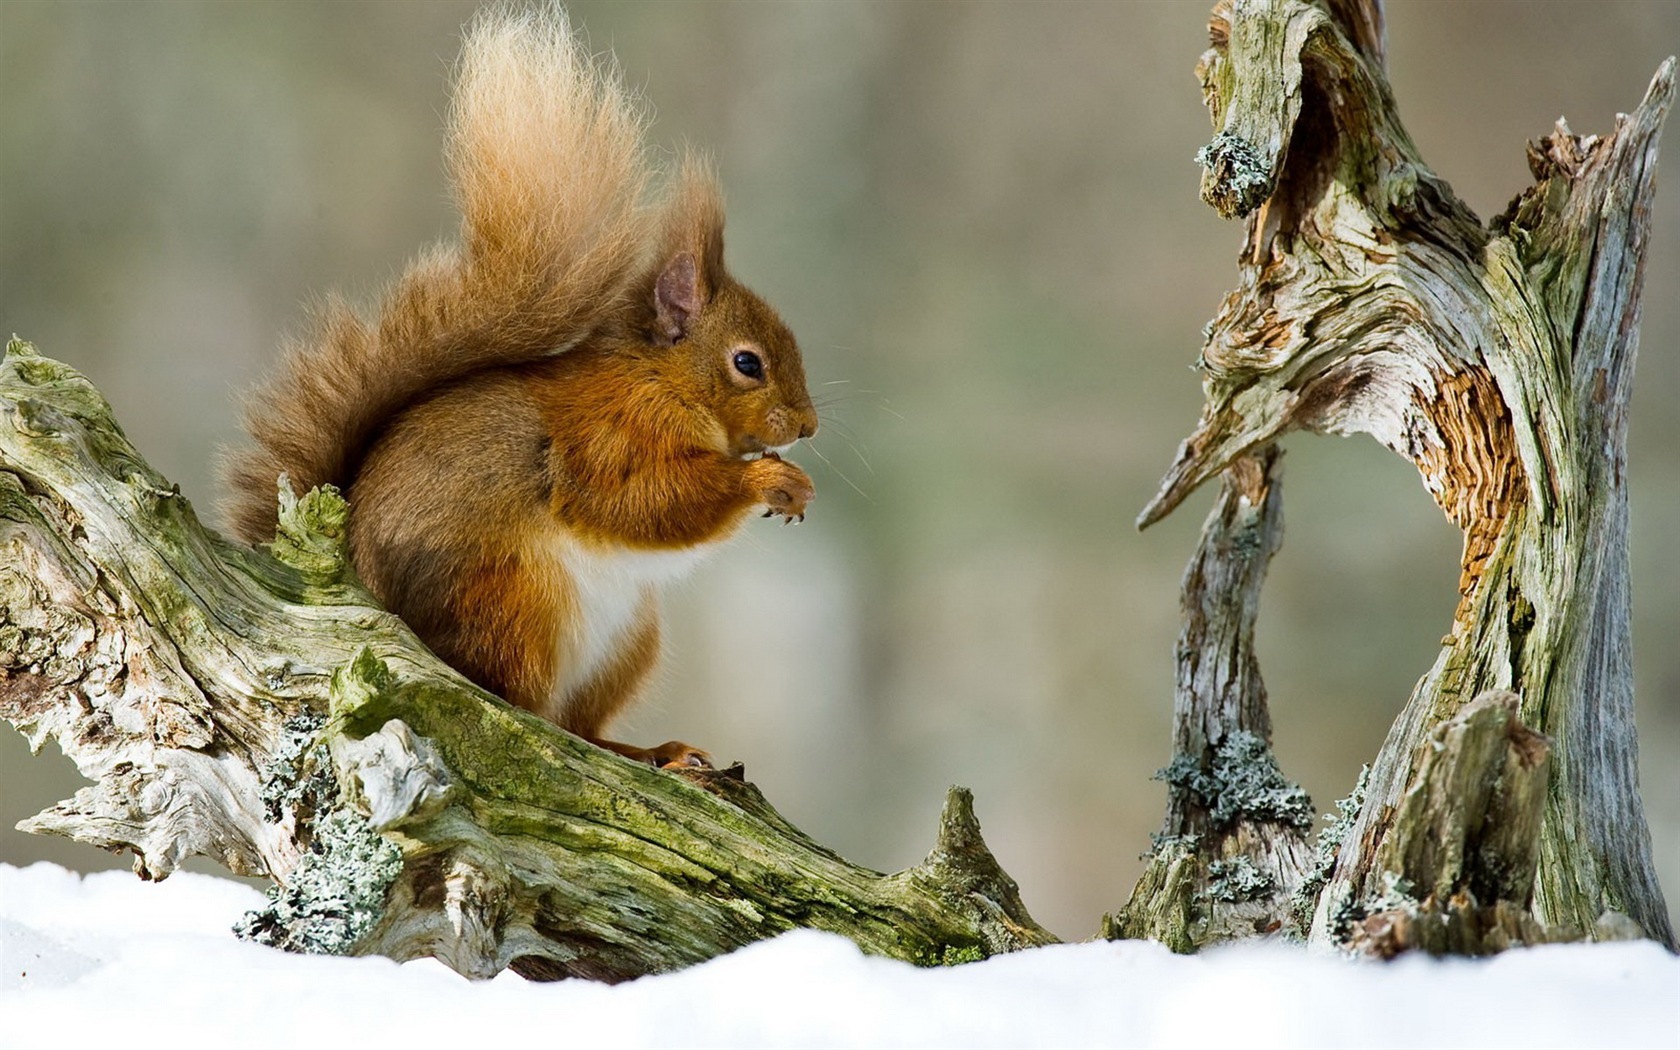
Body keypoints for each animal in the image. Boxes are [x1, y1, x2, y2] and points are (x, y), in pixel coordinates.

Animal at [216, 4, 819, 766]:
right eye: (748, 363)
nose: (807, 428)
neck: (660, 378)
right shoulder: (606, 434)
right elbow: (642, 501)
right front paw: (770, 481)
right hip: (515, 601)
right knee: (521, 705)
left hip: (627, 639)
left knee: (576, 724)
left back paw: (652, 753)